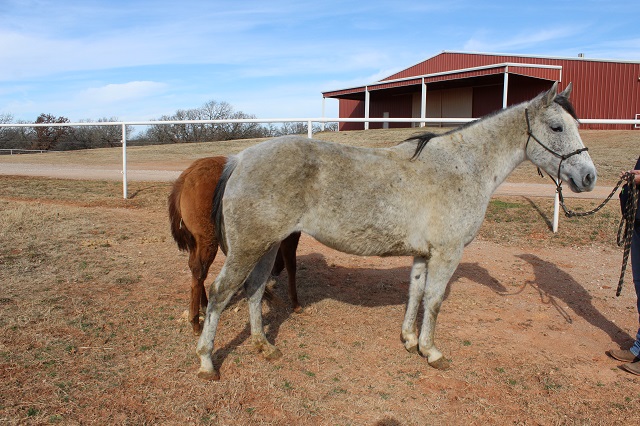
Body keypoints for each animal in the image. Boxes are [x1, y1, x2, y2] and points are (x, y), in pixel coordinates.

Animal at [169, 155, 302, 334]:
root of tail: (186, 177)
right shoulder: (291, 234)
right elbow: (291, 265)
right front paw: (295, 303)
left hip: (197, 242)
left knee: (195, 268)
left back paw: (204, 305)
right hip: (208, 240)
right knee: (199, 270)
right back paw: (195, 321)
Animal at [198, 82, 596, 380]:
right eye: (557, 127)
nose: (589, 177)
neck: (463, 166)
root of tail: (241, 158)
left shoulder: (423, 254)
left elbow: (415, 294)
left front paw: (409, 340)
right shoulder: (447, 253)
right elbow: (433, 301)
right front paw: (431, 352)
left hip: (267, 246)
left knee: (253, 289)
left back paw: (263, 346)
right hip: (248, 248)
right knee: (219, 294)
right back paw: (206, 362)